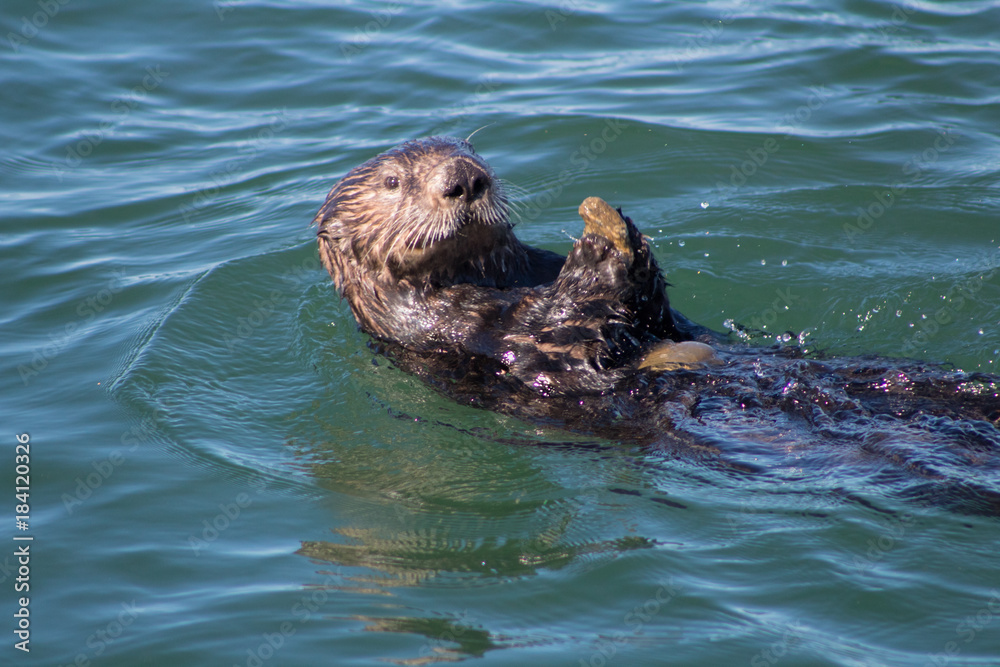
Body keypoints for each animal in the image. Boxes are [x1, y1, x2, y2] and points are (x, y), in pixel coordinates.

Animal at [316, 136, 1000, 514]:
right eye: (394, 181)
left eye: (472, 151)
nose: (465, 179)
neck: (499, 282)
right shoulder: (464, 335)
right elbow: (566, 334)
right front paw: (602, 247)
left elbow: (659, 314)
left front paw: (611, 229)